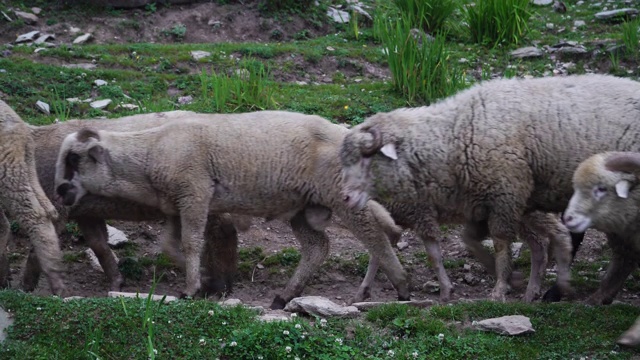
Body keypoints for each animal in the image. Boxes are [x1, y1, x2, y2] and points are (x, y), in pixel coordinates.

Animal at [20, 112, 250, 296]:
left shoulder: (57, 208)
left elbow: (39, 248)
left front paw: (27, 289)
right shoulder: (85, 212)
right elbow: (99, 245)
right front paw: (117, 282)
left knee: (221, 230)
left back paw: (219, 284)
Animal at [52, 111, 408, 308]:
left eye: (74, 159)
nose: (59, 192)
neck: (149, 154)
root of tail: (344, 133)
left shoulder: (195, 192)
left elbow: (192, 243)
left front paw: (192, 288)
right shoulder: (176, 205)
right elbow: (171, 244)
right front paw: (209, 281)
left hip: (339, 195)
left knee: (375, 236)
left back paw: (401, 287)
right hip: (304, 207)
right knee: (318, 248)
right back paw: (285, 295)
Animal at [340, 74, 640, 302]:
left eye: (366, 158)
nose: (345, 197)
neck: (454, 137)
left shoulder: (504, 195)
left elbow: (500, 243)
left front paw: (499, 288)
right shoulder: (484, 203)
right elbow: (470, 241)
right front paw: (509, 279)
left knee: (619, 251)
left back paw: (591, 294)